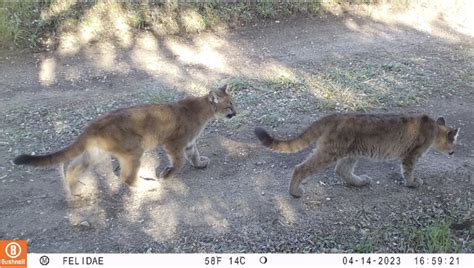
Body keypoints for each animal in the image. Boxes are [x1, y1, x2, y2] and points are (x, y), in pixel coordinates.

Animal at [13, 85, 236, 192]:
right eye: (228, 106)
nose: (236, 112)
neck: (202, 111)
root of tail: (93, 124)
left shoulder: (189, 143)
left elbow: (194, 155)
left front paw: (200, 164)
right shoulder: (174, 143)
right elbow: (179, 162)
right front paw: (167, 175)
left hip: (96, 152)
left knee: (72, 166)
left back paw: (75, 190)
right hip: (134, 149)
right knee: (127, 177)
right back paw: (149, 186)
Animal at [256, 112, 460, 198]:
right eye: (455, 142)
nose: (454, 151)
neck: (434, 128)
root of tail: (335, 115)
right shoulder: (411, 155)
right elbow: (408, 170)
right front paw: (412, 183)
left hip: (352, 152)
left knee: (341, 171)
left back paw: (360, 181)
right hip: (331, 152)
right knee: (301, 168)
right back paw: (294, 192)